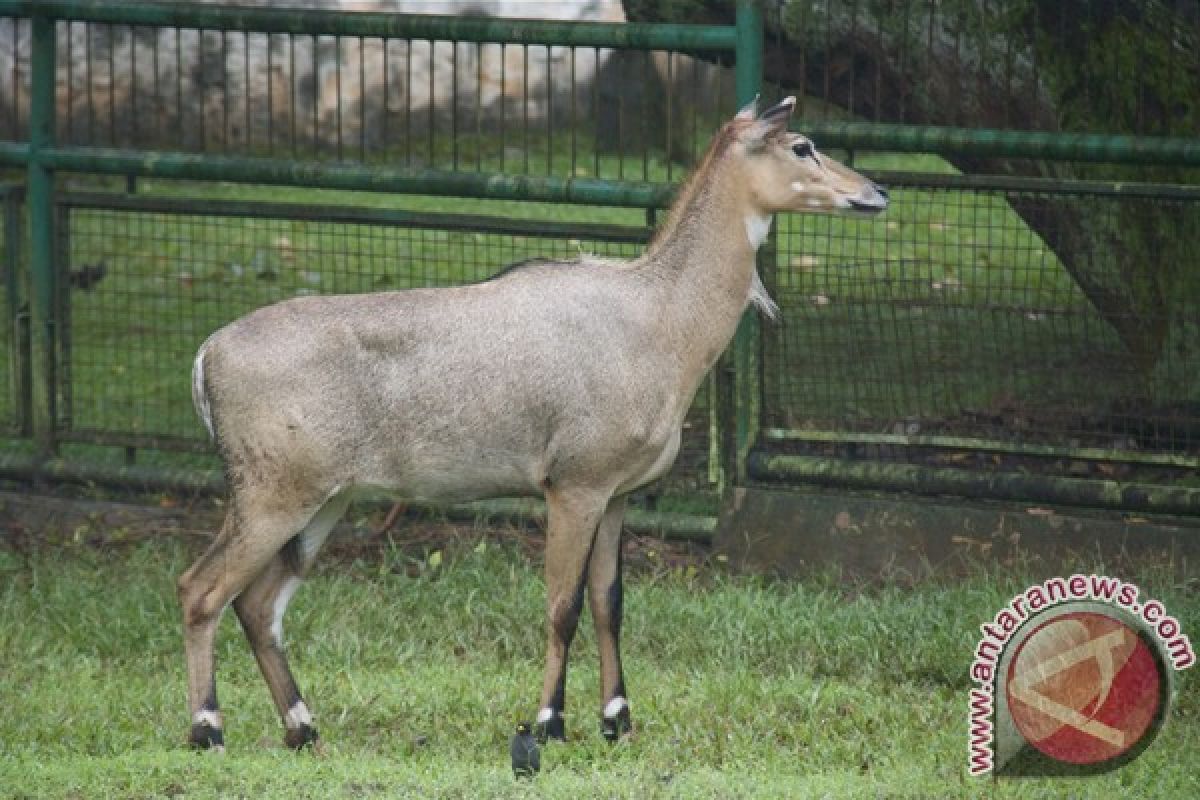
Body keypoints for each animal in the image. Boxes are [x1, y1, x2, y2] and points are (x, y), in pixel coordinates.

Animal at [180, 94, 892, 753]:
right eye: (802, 146)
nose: (877, 192)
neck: (659, 319)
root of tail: (207, 352)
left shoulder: (617, 493)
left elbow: (609, 602)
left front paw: (617, 721)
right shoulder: (573, 486)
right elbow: (562, 605)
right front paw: (549, 722)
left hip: (325, 500)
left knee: (258, 605)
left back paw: (303, 729)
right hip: (272, 494)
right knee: (201, 588)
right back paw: (208, 729)